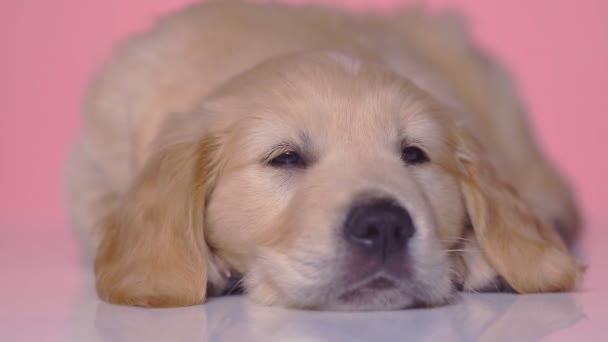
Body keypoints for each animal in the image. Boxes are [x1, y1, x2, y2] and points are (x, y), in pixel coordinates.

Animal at [64, 0, 580, 310]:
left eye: (414, 154)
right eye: (285, 158)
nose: (383, 225)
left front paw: (480, 256)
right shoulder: (91, 164)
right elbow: (105, 212)